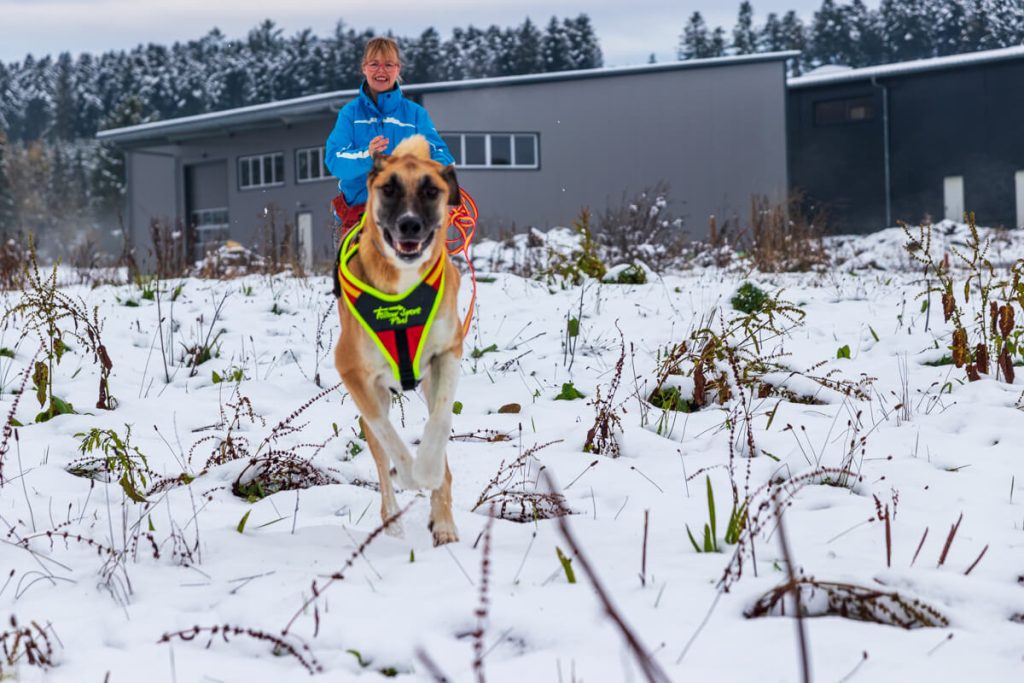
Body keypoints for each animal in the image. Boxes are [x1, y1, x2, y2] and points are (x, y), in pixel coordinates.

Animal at [335, 136, 464, 548]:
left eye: (431, 191)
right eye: (388, 189)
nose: (409, 224)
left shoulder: (448, 352)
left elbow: (440, 419)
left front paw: (428, 471)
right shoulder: (353, 371)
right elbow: (389, 436)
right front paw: (411, 474)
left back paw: (444, 522)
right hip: (372, 397)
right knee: (379, 455)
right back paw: (391, 520)